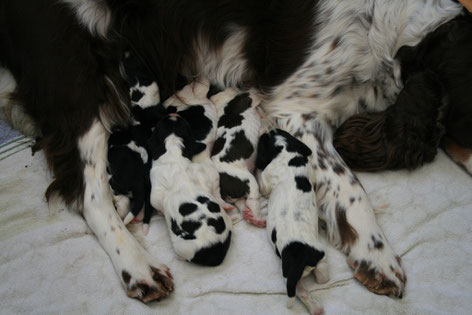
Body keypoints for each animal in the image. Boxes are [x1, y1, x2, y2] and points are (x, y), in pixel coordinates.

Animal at [208, 89, 264, 227]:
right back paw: (258, 220)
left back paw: (248, 215)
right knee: (251, 201)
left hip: (235, 196)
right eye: (245, 95)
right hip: (249, 181)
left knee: (241, 205)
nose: (256, 90)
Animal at [254, 130, 328, 314]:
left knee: (303, 286)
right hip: (317, 261)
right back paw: (316, 307)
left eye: (264, 140)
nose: (266, 131)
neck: (287, 150)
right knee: (318, 279)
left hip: (289, 268)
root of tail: (300, 255)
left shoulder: (266, 179)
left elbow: (261, 180)